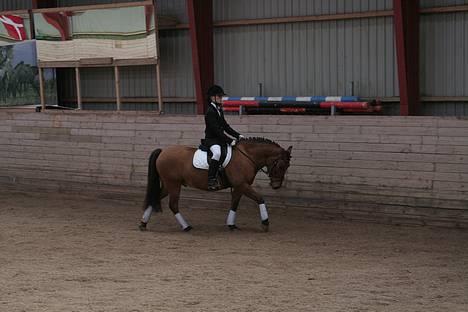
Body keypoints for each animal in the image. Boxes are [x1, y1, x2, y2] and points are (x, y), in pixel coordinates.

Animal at [139, 137, 292, 232]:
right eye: (281, 166)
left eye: (287, 166)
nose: (276, 186)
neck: (246, 156)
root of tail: (162, 152)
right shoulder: (242, 184)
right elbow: (260, 198)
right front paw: (265, 223)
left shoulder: (239, 187)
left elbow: (234, 204)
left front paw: (231, 224)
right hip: (174, 185)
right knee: (173, 205)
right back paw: (186, 227)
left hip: (168, 185)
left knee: (155, 198)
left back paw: (143, 224)